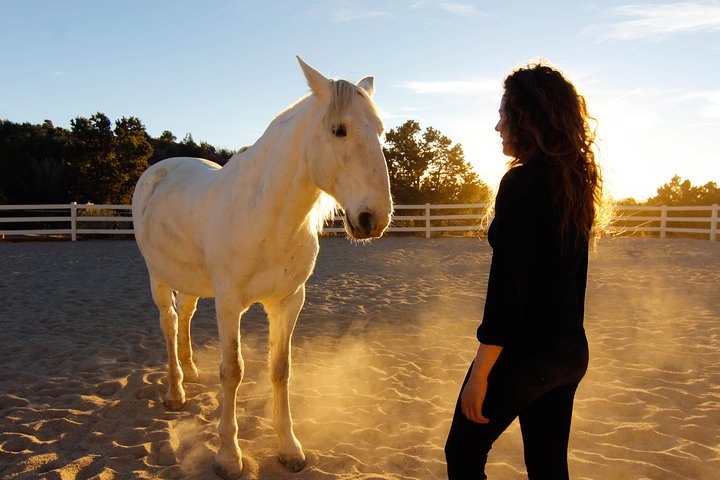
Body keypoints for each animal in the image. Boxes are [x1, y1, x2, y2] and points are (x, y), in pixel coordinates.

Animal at [131, 57, 393, 479]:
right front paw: (228, 455)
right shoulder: (228, 303)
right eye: (339, 129)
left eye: (380, 131)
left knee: (185, 314)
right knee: (169, 323)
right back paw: (176, 391)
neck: (270, 217)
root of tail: (159, 169)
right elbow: (232, 371)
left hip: (190, 279)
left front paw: (289, 448)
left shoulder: (288, 301)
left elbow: (280, 368)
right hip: (158, 276)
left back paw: (191, 371)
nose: (374, 218)